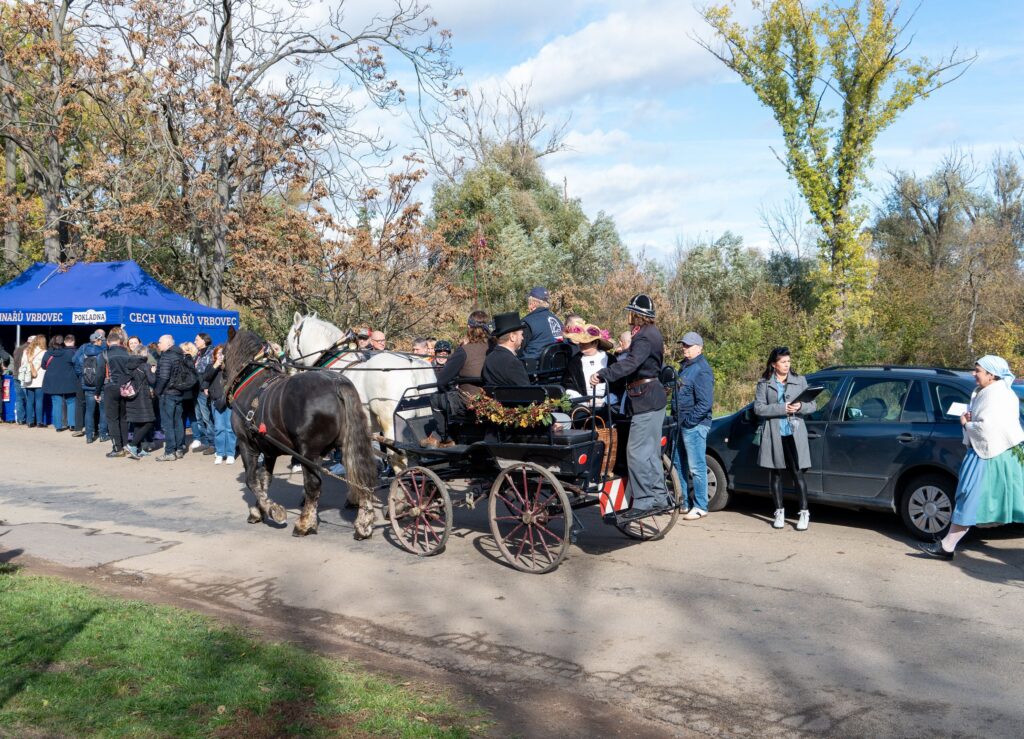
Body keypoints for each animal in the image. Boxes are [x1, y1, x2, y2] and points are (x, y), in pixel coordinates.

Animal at [224, 327, 377, 539]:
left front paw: (272, 510)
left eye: (222, 354)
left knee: (313, 485)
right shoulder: (270, 450)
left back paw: (304, 524)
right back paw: (363, 524)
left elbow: (251, 480)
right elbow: (265, 480)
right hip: (348, 446)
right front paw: (260, 508)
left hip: (308, 452)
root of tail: (337, 382)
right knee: (362, 478)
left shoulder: (247, 445)